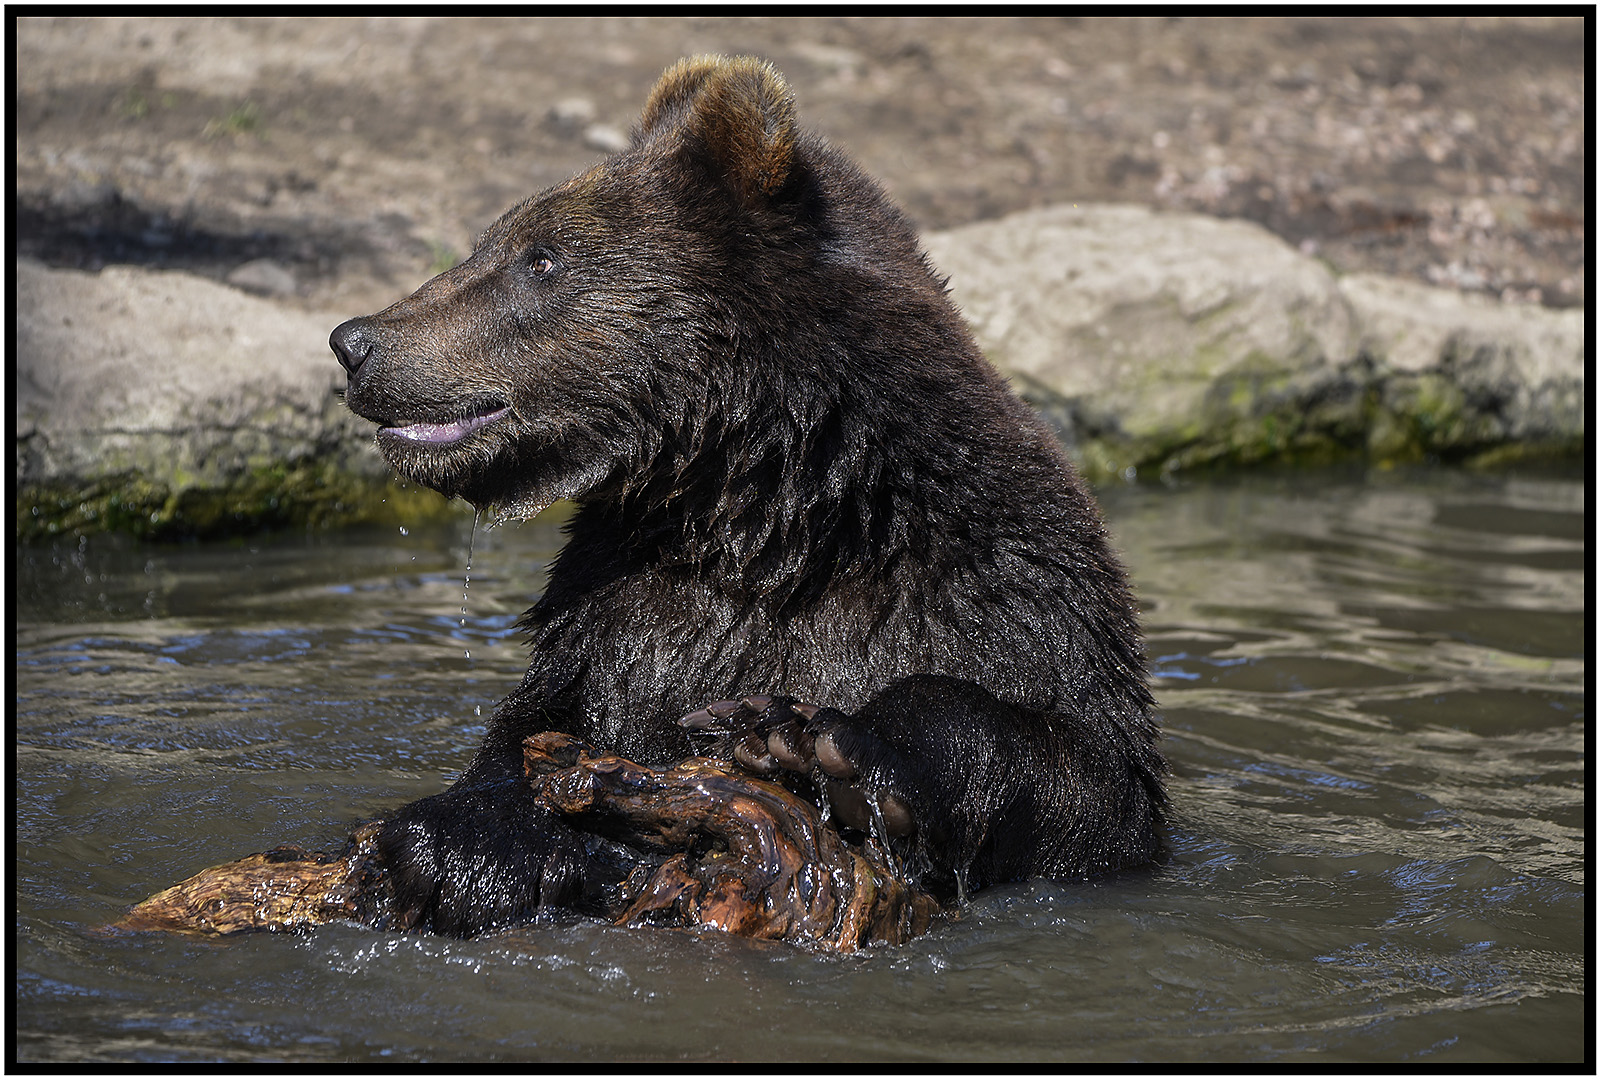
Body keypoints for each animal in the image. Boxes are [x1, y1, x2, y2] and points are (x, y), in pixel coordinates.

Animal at [331, 57, 1171, 940]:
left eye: (542, 258)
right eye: (494, 243)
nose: (355, 342)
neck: (767, 509)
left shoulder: (1006, 592)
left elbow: (1082, 771)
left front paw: (824, 742)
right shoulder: (617, 618)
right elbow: (538, 732)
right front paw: (460, 844)